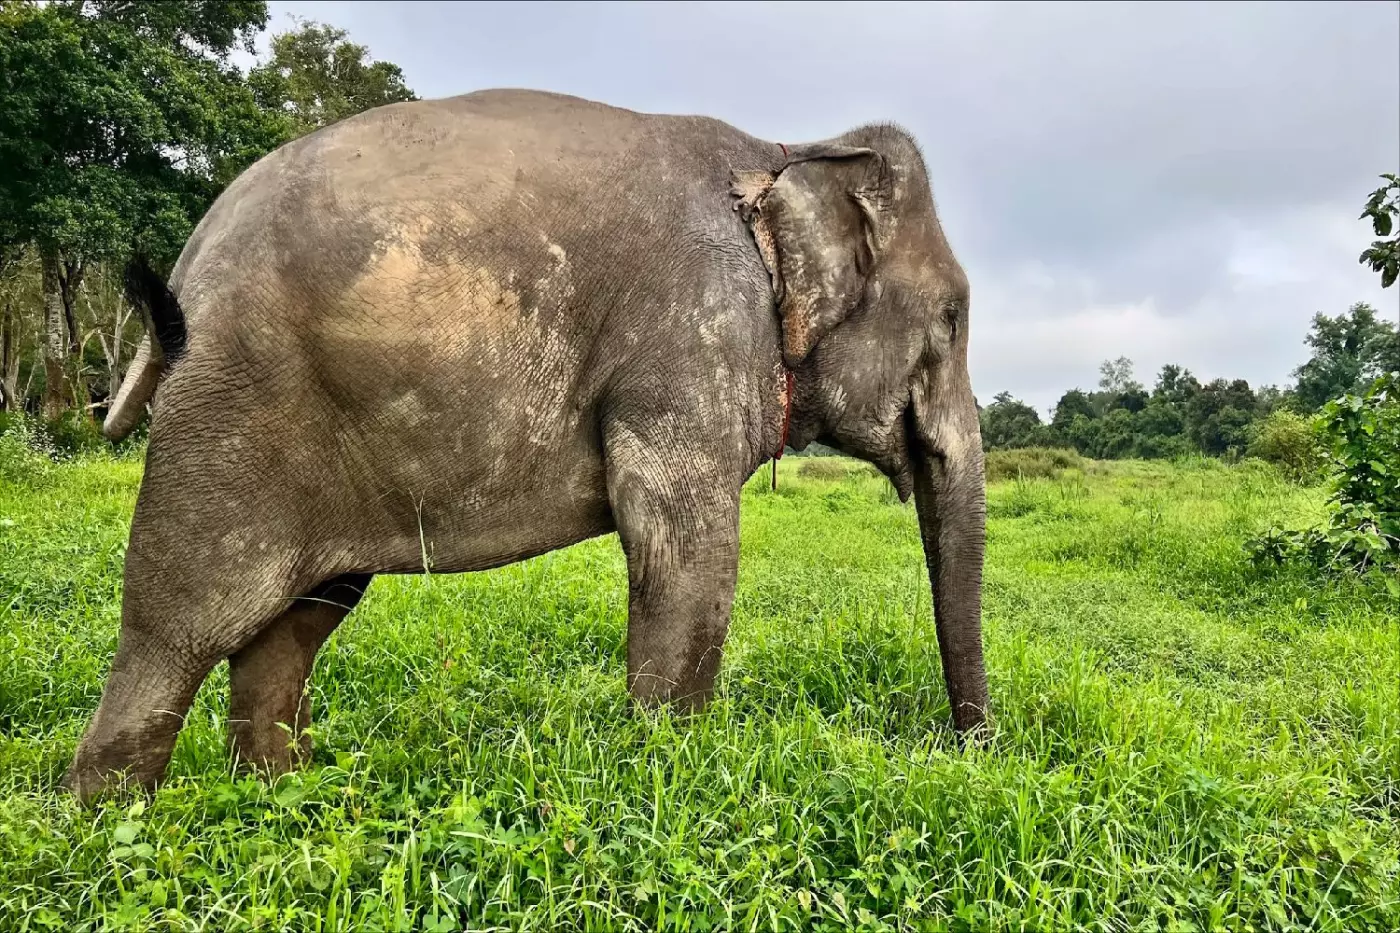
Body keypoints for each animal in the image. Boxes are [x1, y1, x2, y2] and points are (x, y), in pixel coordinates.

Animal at [65, 88, 988, 802]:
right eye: (951, 319)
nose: (967, 750)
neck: (787, 150)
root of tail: (194, 249)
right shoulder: (689, 339)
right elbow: (685, 553)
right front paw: (670, 777)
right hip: (235, 407)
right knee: (183, 622)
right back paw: (110, 821)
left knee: (296, 622)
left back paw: (279, 795)